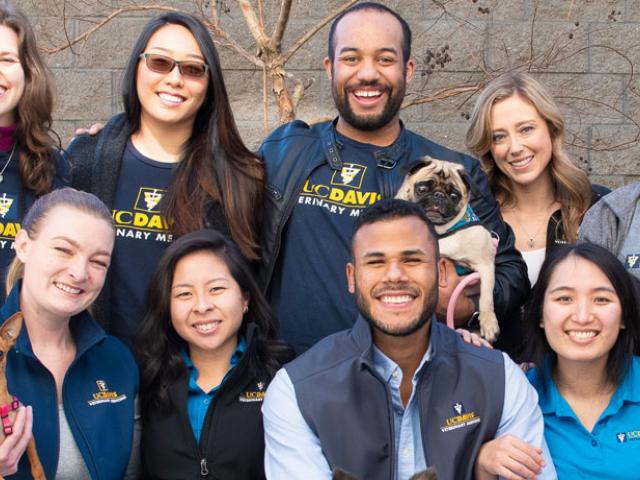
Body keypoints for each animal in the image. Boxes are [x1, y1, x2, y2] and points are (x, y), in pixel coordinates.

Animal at [396, 157, 500, 342]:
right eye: (422, 189)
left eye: (454, 196)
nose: (439, 195)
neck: (437, 231)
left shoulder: (486, 265)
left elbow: (486, 297)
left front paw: (489, 323)